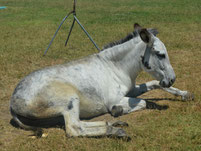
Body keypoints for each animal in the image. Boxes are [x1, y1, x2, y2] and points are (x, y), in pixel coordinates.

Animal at [10, 23, 193, 139]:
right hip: (70, 100)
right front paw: (118, 110)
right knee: (74, 128)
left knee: (78, 123)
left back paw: (116, 124)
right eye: (160, 54)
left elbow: (153, 85)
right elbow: (144, 102)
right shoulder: (116, 99)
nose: (171, 79)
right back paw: (115, 130)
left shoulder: (132, 89)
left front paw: (185, 94)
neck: (115, 67)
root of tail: (12, 102)